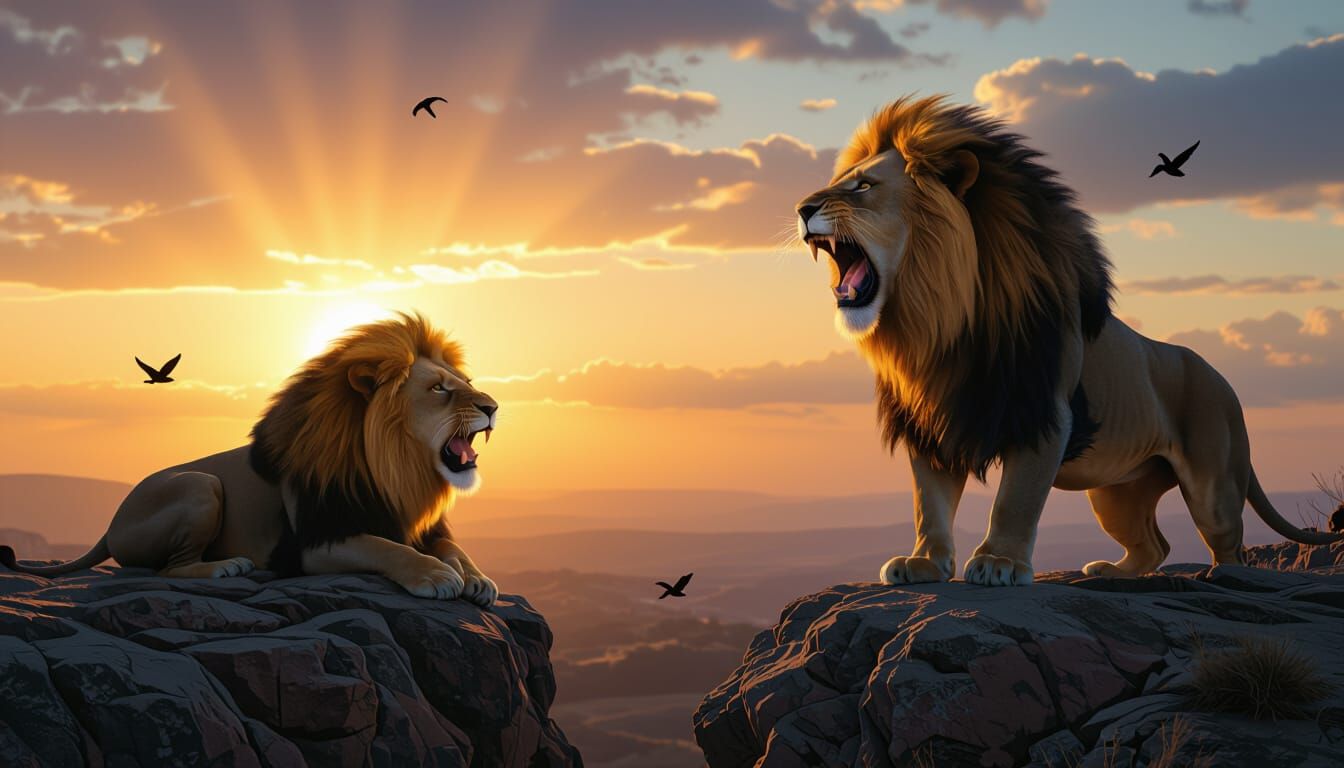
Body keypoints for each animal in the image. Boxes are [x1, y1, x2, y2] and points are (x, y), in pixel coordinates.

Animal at [0, 312, 500, 605]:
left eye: (466, 381)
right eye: (439, 389)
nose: (493, 406)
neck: (397, 470)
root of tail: (110, 524)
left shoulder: (422, 525)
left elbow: (451, 546)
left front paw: (476, 578)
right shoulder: (318, 543)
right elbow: (388, 547)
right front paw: (436, 576)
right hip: (200, 485)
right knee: (169, 568)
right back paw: (228, 566)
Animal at [794, 95, 1344, 587]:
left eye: (864, 186)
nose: (801, 207)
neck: (942, 324)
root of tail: (1222, 381)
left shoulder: (1046, 414)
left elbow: (1015, 499)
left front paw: (999, 564)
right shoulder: (933, 417)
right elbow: (928, 502)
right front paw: (925, 564)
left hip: (1213, 482)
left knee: (1229, 543)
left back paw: (1226, 576)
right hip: (1117, 492)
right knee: (1155, 545)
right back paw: (1111, 572)